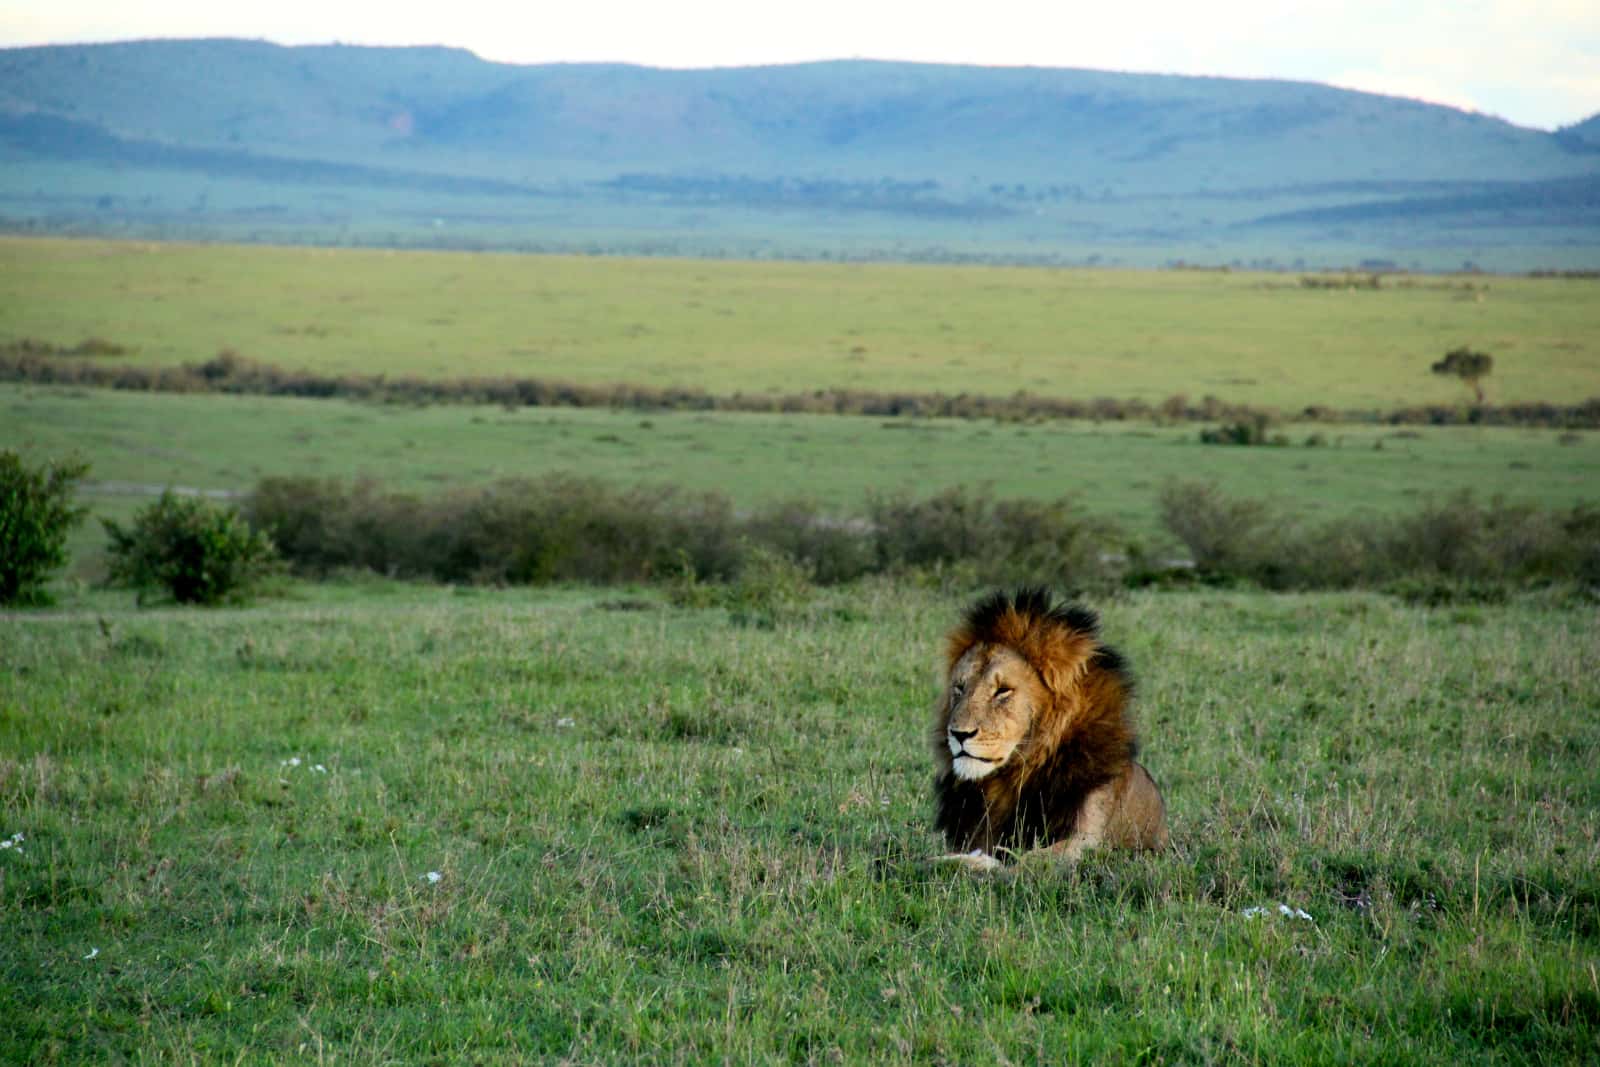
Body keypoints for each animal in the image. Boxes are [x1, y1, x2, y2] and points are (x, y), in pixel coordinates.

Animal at [934, 588, 1171, 870]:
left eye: (1003, 690)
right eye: (960, 688)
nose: (959, 734)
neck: (1012, 779)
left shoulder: (1087, 839)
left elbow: (1029, 861)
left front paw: (976, 863)